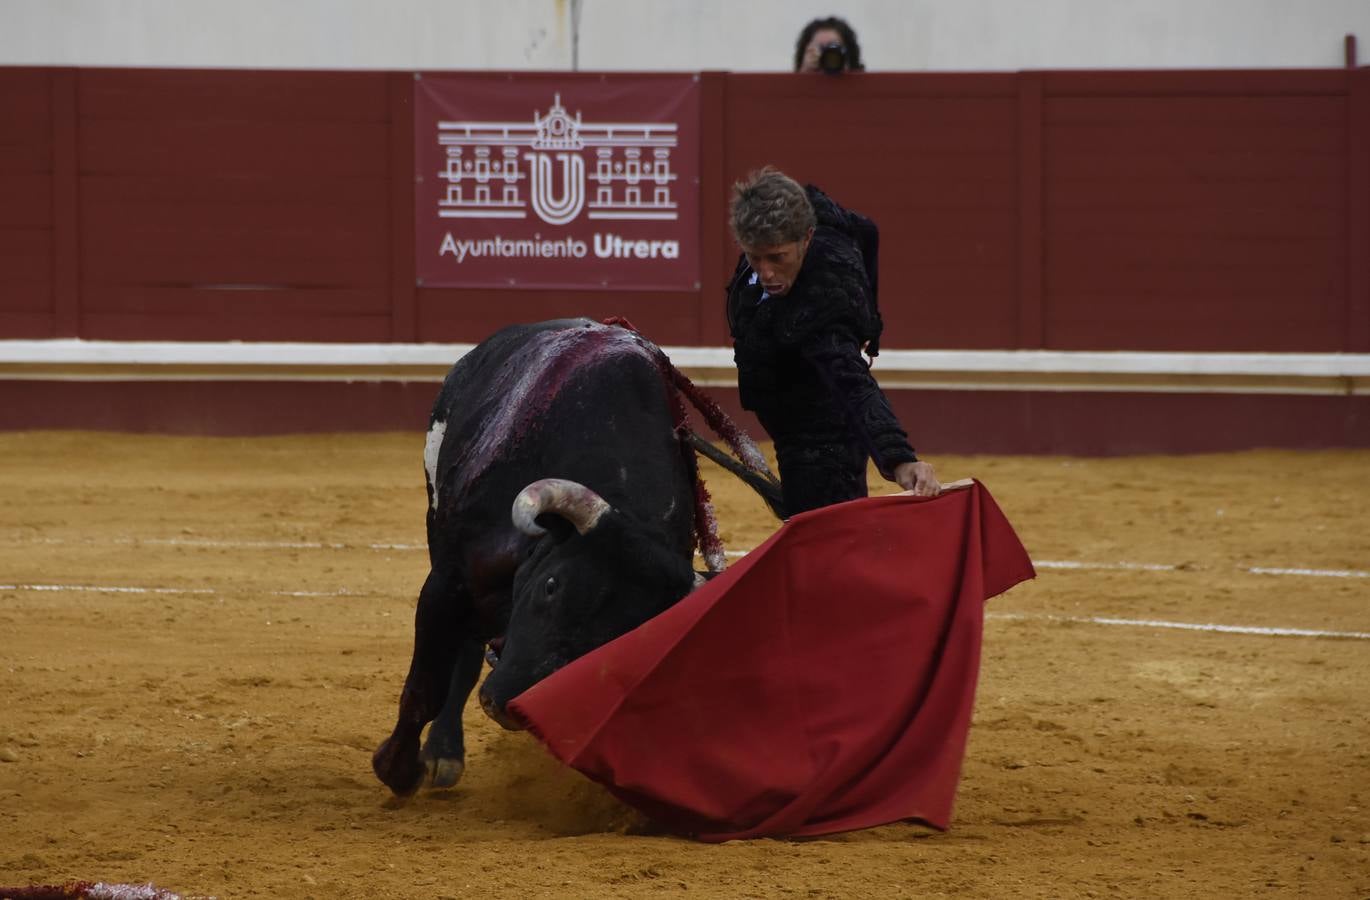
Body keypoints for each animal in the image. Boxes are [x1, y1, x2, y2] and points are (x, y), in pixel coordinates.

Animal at [369, 316, 772, 794]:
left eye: (620, 636)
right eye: (551, 585)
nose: (505, 704)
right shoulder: (446, 581)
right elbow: (425, 688)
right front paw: (396, 770)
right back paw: (440, 755)